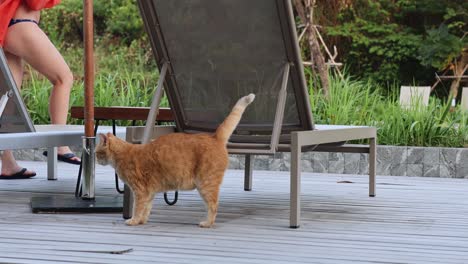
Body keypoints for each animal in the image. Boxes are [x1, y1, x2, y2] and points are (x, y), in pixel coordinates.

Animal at [96, 94, 256, 228]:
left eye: (97, 153)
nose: (96, 159)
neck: (123, 154)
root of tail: (214, 136)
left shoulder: (140, 191)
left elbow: (138, 208)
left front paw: (134, 220)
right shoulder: (149, 193)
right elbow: (146, 209)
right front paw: (142, 221)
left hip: (206, 184)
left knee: (213, 205)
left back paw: (207, 223)